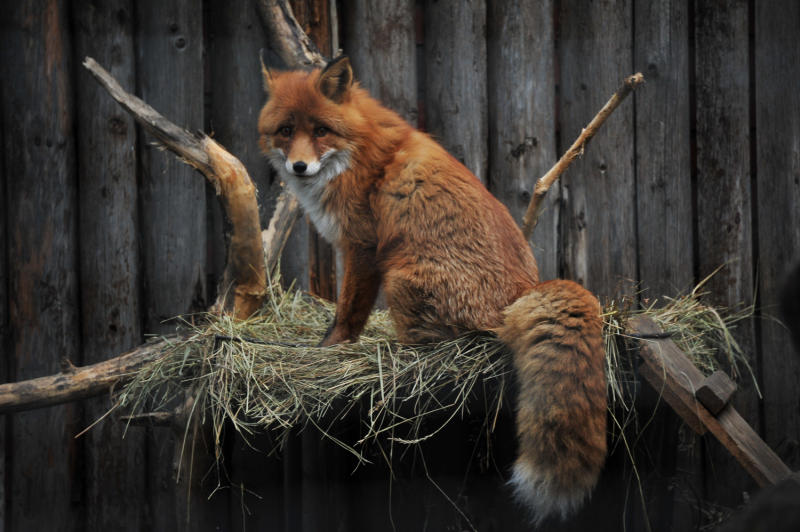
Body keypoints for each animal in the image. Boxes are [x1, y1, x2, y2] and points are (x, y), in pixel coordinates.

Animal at [260, 55, 608, 524]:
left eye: (320, 131)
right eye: (285, 130)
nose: (298, 167)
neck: (355, 153)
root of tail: (521, 293)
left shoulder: (362, 247)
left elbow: (348, 312)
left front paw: (332, 350)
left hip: (400, 279)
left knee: (431, 348)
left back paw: (395, 351)